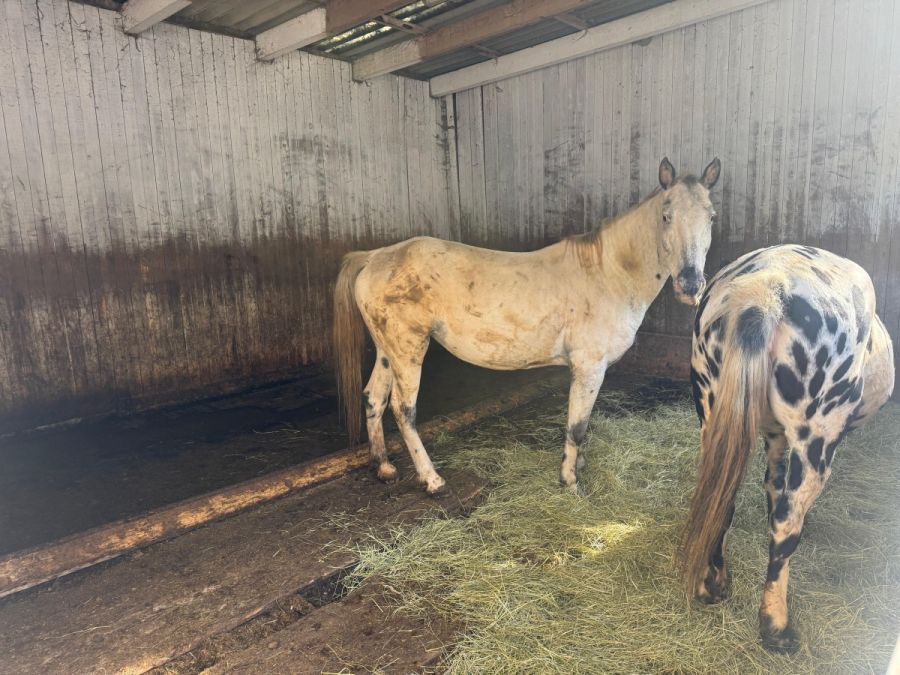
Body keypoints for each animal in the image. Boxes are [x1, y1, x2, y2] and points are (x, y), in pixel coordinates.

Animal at [332, 157, 721, 497]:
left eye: (712, 217)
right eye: (666, 215)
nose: (690, 285)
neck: (607, 274)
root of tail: (374, 257)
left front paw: (577, 468)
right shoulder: (589, 367)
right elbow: (577, 426)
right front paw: (570, 482)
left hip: (388, 351)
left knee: (374, 398)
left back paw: (384, 468)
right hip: (409, 349)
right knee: (403, 410)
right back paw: (433, 480)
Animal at [681, 244, 895, 653]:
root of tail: (766, 289)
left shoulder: (776, 438)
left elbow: (772, 484)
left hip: (712, 413)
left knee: (720, 498)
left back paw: (711, 585)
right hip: (817, 431)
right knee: (786, 522)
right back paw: (777, 629)